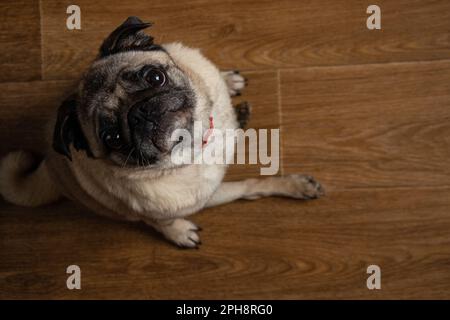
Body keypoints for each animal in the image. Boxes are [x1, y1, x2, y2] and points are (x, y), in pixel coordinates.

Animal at [0, 16, 324, 248]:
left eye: (155, 77)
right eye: (113, 138)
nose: (138, 113)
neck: (197, 142)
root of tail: (48, 164)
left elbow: (250, 184)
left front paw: (294, 185)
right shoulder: (201, 197)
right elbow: (245, 188)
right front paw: (179, 230)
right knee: (148, 220)